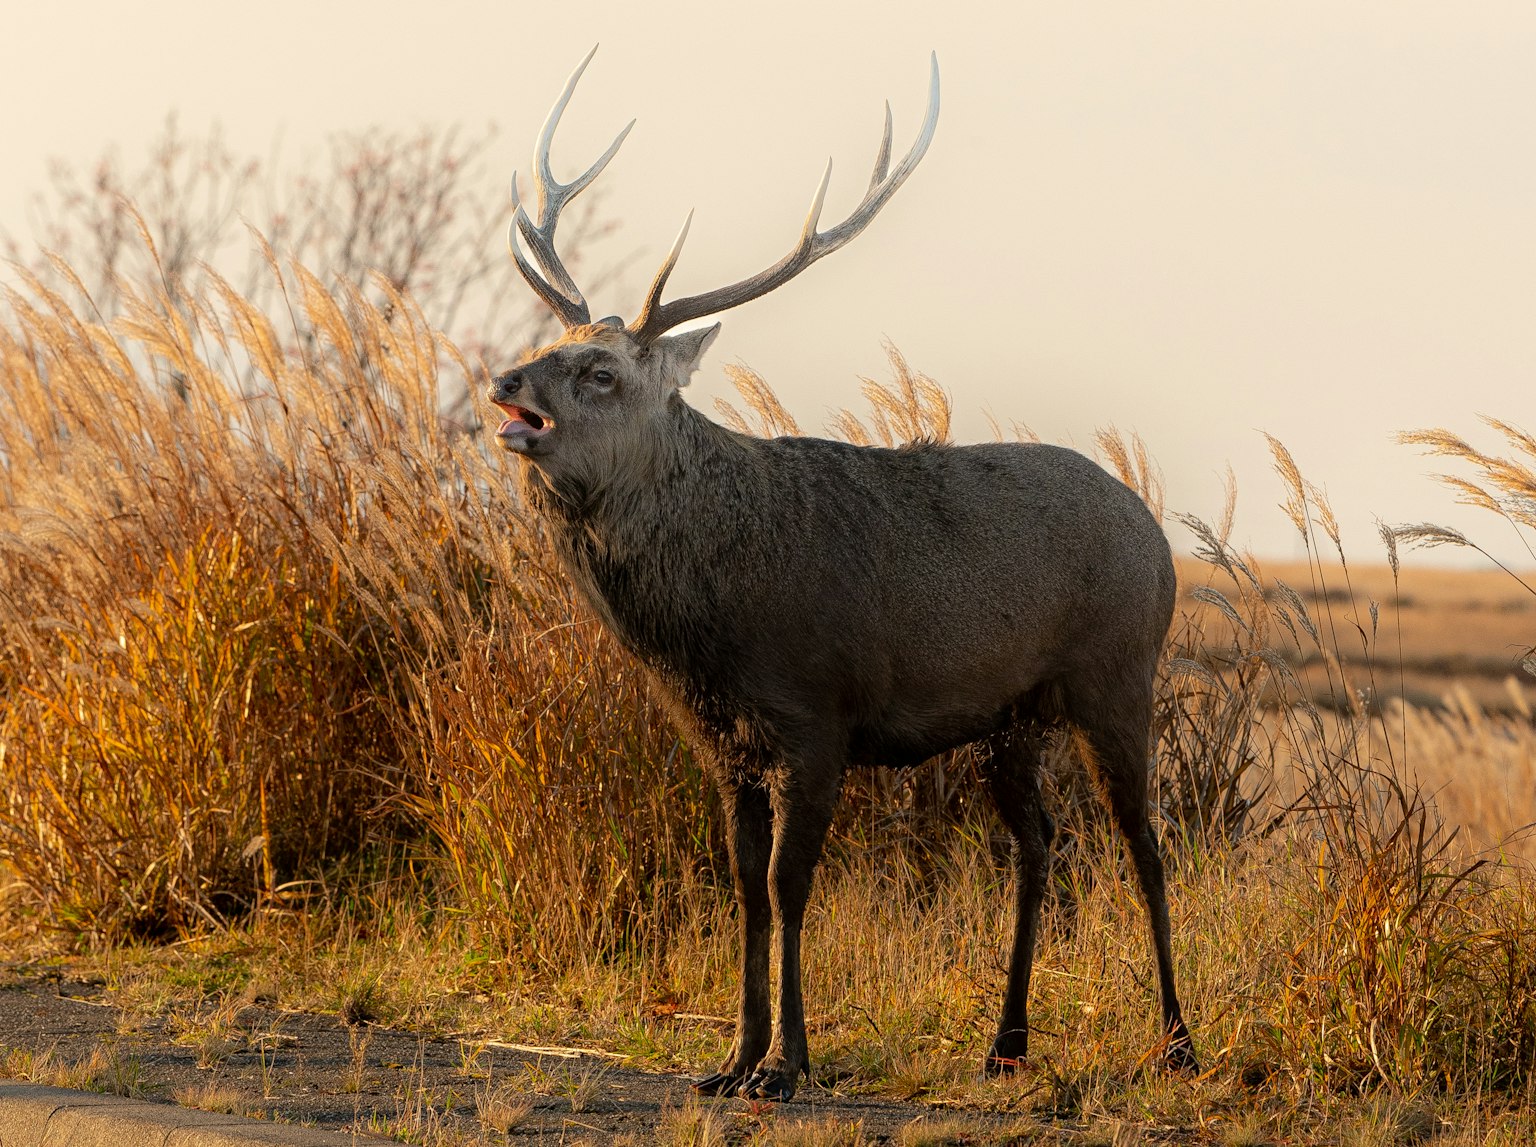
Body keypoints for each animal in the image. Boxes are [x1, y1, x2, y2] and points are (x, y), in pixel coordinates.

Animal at [487, 48, 1197, 1101]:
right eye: (550, 346)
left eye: (601, 373)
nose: (505, 380)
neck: (706, 629)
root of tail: (1157, 534)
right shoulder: (724, 742)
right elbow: (743, 885)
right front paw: (730, 1057)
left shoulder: (815, 719)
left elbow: (791, 886)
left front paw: (787, 1064)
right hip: (1010, 718)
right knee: (1038, 844)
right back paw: (1006, 1040)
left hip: (1118, 675)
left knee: (1143, 843)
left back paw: (1177, 1038)